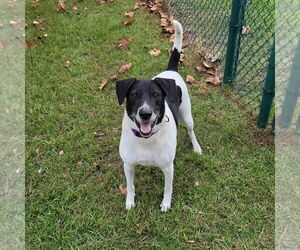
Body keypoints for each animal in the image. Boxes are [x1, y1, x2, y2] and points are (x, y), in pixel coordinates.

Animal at [116, 20, 203, 211]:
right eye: (134, 95)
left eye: (156, 95)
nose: (145, 113)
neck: (146, 140)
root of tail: (171, 71)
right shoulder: (128, 165)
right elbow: (130, 185)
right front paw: (130, 201)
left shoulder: (168, 167)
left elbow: (167, 188)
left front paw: (166, 204)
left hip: (187, 115)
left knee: (191, 131)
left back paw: (197, 147)